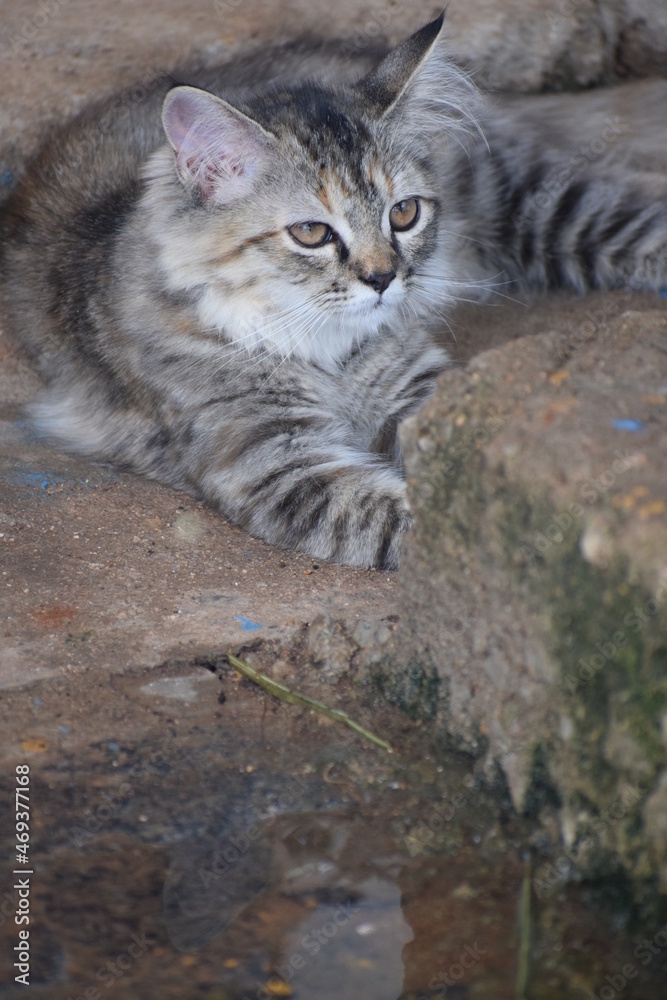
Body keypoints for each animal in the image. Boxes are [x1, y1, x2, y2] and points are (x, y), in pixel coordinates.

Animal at [1, 15, 667, 568]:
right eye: (311, 233)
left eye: (404, 214)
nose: (383, 278)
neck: (320, 349)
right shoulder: (274, 462)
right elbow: (408, 517)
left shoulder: (410, 387)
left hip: (540, 211)